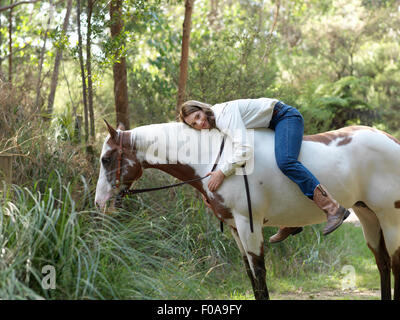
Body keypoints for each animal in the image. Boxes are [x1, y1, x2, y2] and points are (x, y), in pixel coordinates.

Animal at [95, 120, 400, 300]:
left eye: (106, 158)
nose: (99, 203)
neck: (216, 159)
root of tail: (391, 140)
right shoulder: (234, 228)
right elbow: (251, 276)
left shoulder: (248, 225)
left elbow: (260, 276)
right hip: (368, 216)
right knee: (382, 264)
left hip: (390, 218)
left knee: (395, 264)